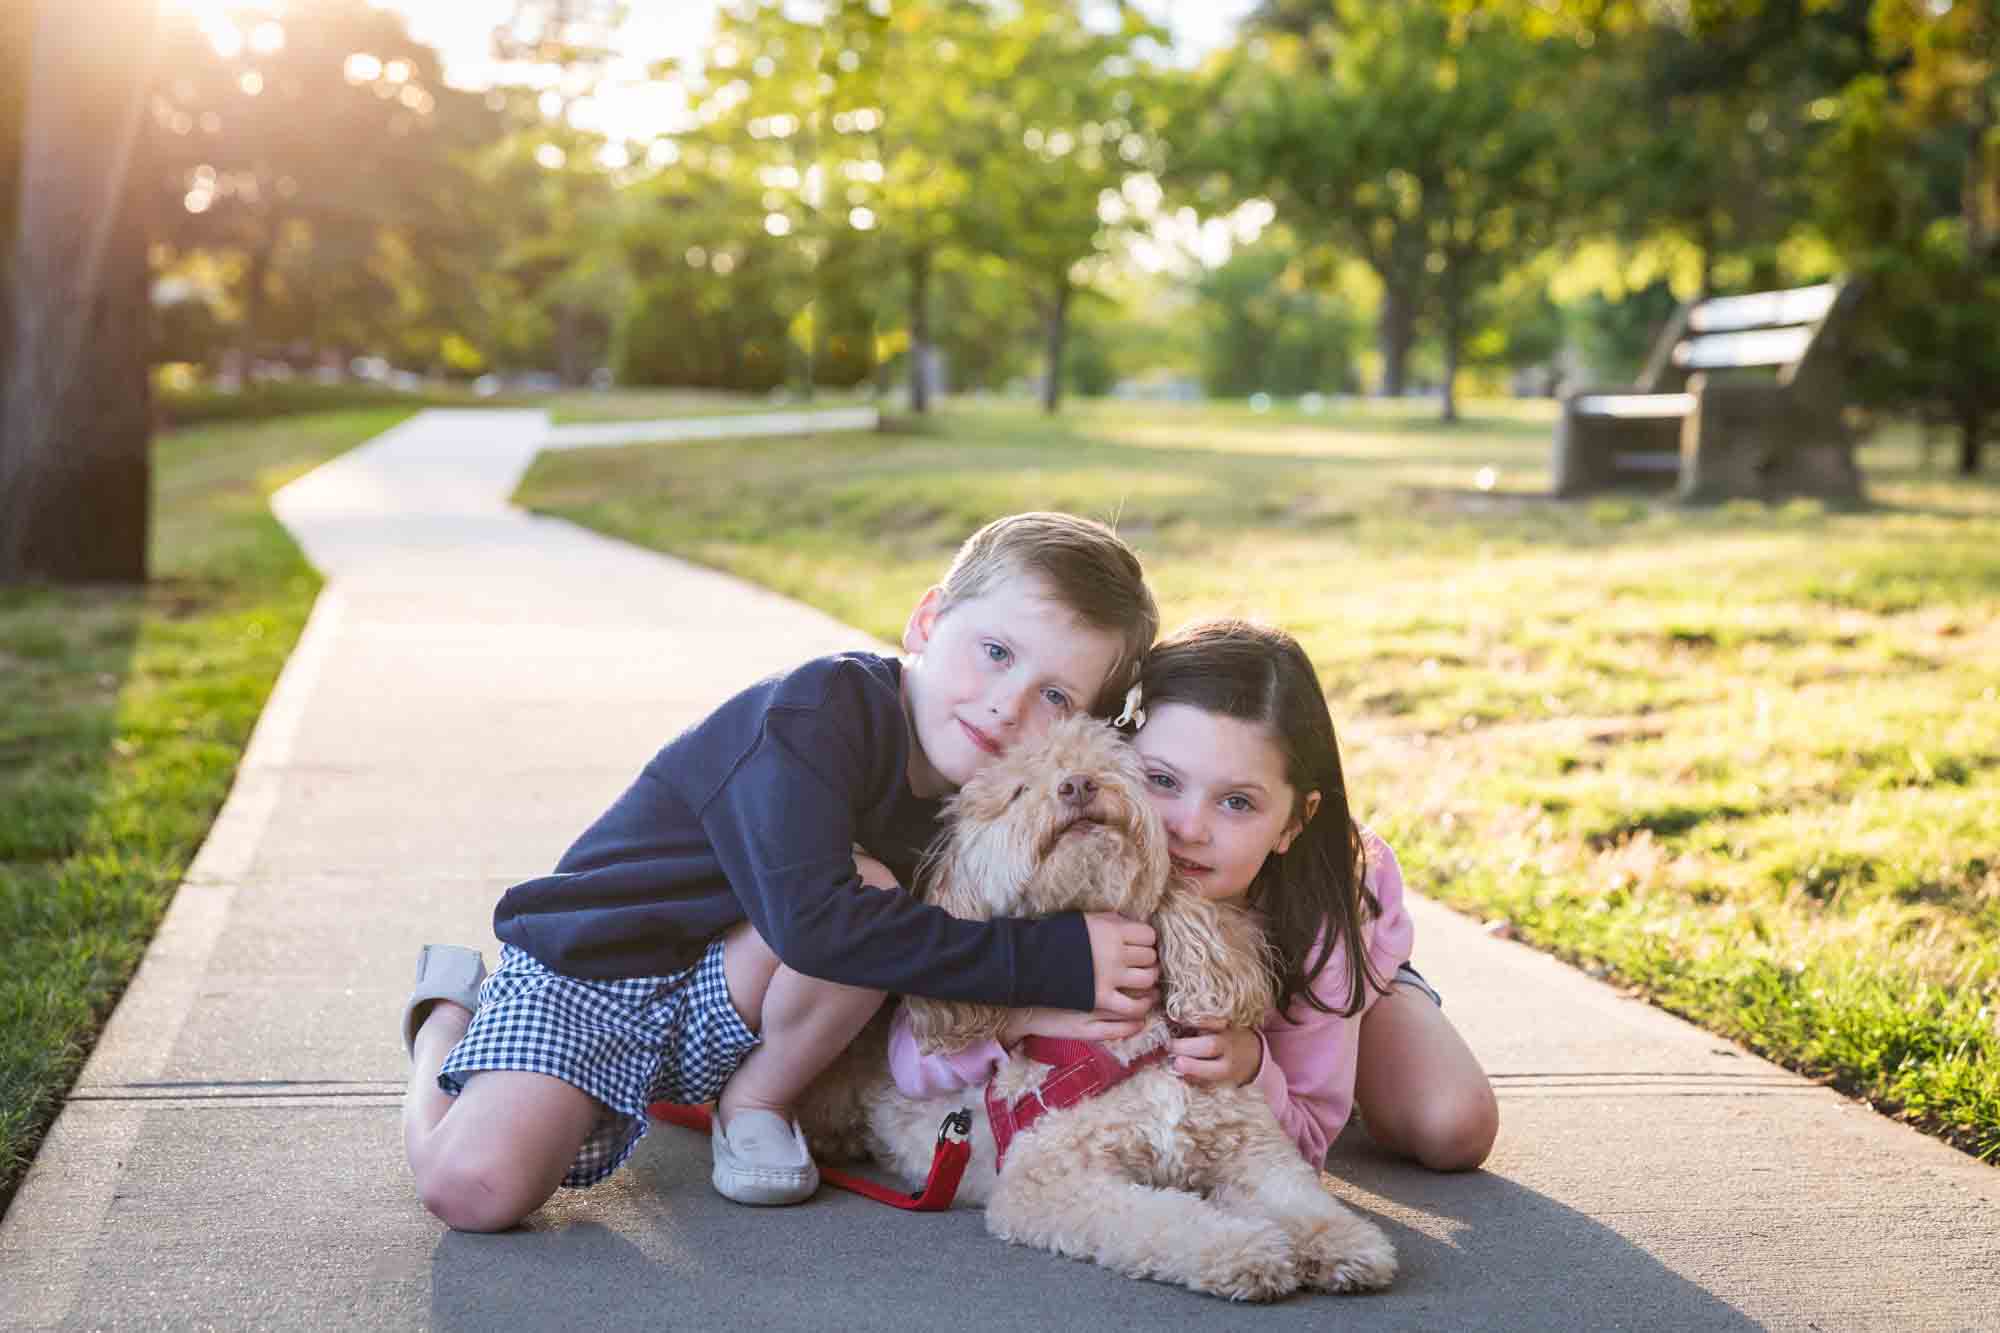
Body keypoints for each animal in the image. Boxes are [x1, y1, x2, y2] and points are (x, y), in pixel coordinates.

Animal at [796, 716, 1392, 1296]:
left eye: (1113, 768)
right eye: (1018, 791)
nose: (1078, 785)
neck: (1119, 1044)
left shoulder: (1253, 1148)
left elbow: (1298, 1196)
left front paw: (1342, 1242)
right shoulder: (1052, 1181)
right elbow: (1166, 1219)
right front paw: (1244, 1250)